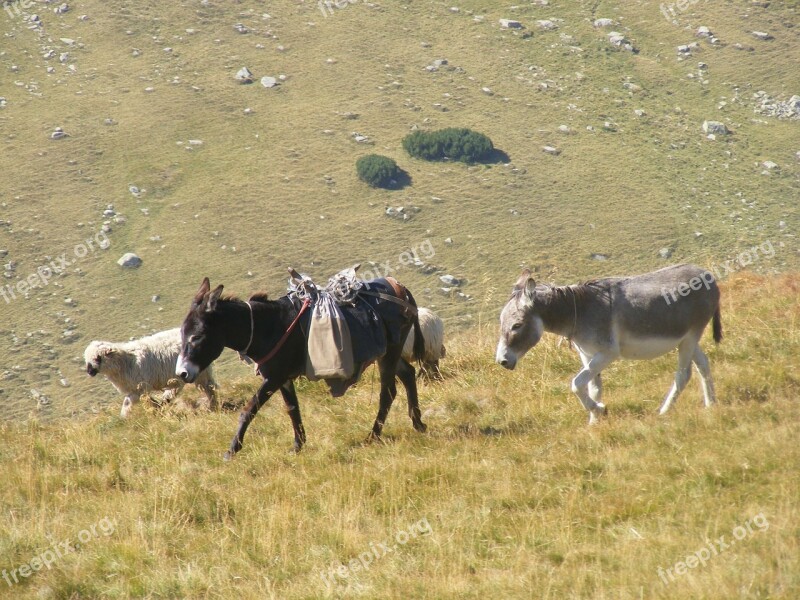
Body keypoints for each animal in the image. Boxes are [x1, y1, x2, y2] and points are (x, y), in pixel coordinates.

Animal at [83, 328, 219, 418]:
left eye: (98, 358)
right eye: (87, 359)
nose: (89, 371)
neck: (125, 361)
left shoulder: (140, 388)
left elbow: (129, 402)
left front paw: (124, 417)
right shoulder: (137, 389)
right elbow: (145, 400)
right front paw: (156, 408)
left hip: (199, 372)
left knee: (208, 387)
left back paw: (213, 406)